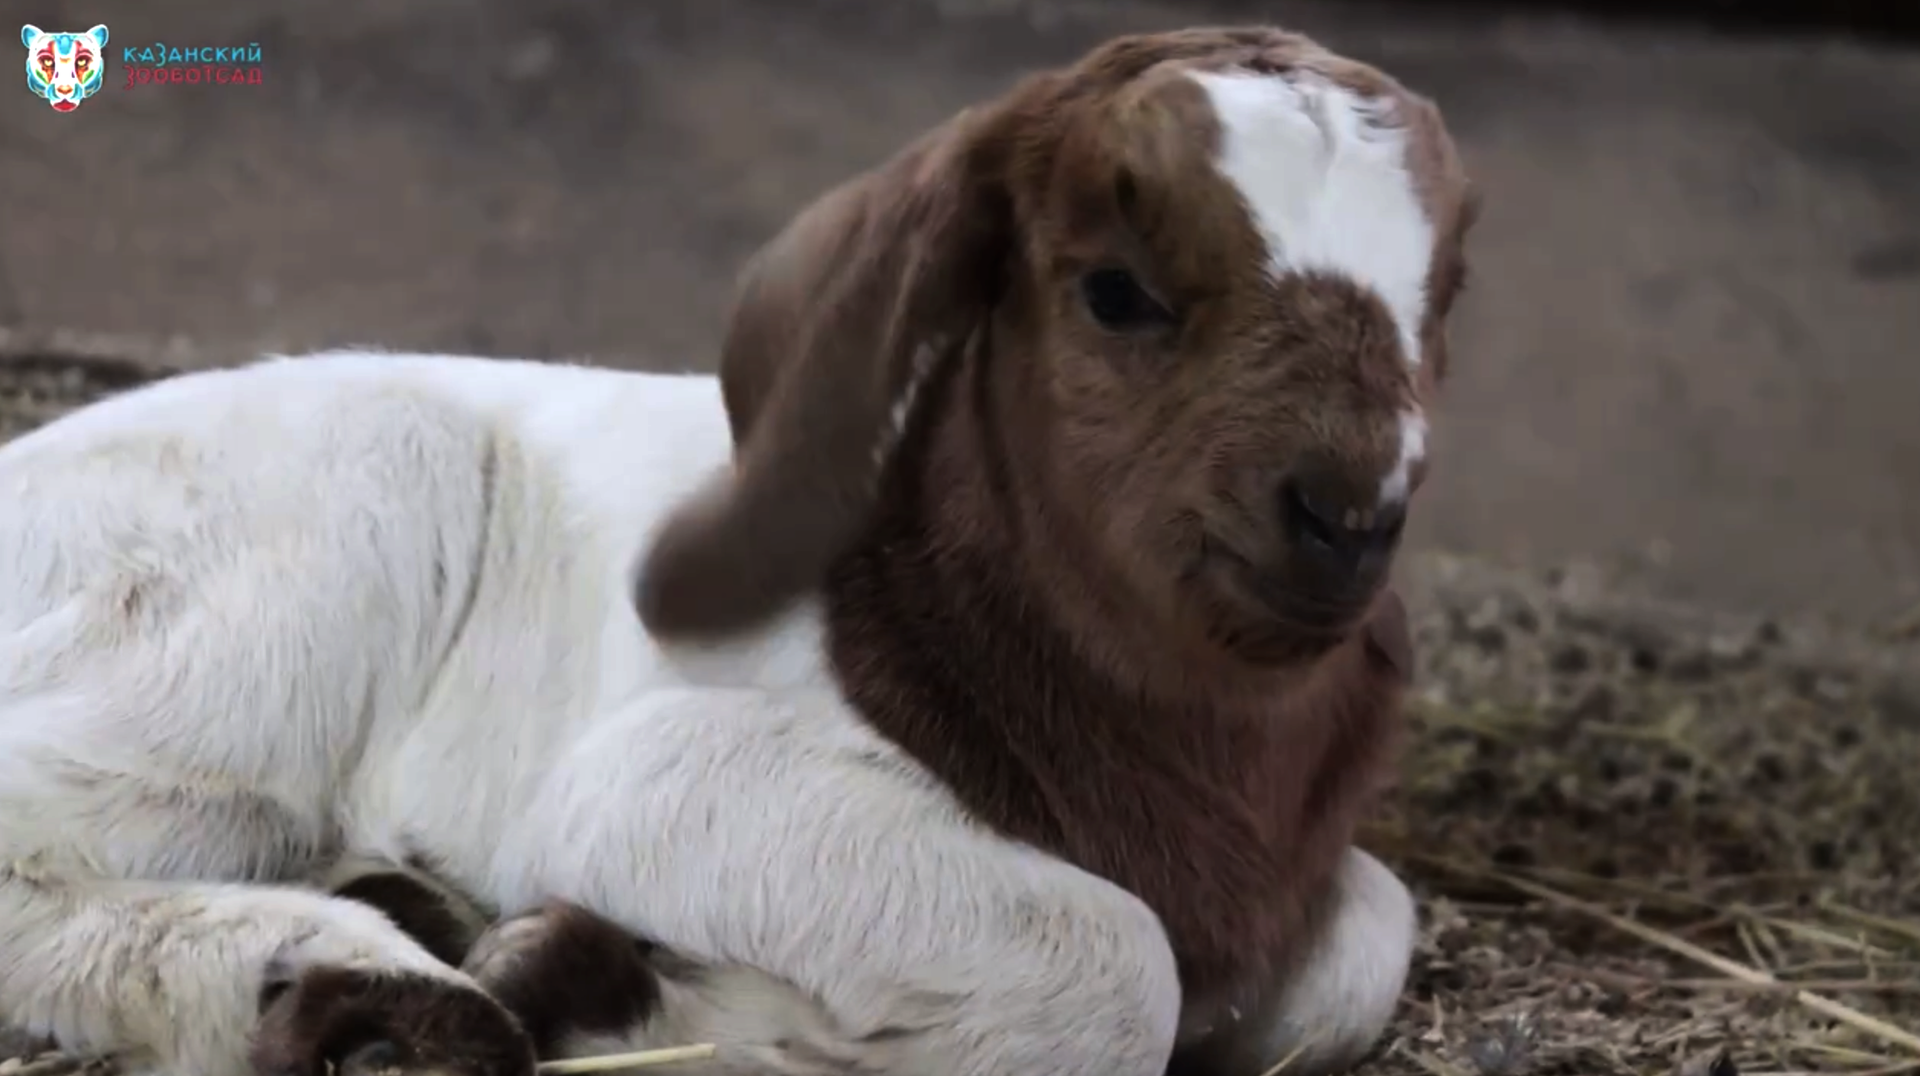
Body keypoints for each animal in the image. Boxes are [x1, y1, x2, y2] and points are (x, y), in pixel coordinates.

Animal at [0, 23, 1466, 1076]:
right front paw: (620, 998)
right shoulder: (666, 777)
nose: (1352, 515)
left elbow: (1364, 936)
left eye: (1440, 304)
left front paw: (600, 987)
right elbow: (1120, 962)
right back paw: (358, 985)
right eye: (1118, 293)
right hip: (286, 584)